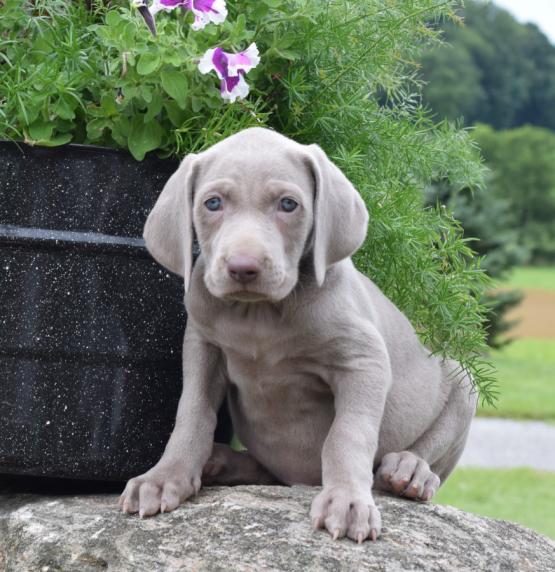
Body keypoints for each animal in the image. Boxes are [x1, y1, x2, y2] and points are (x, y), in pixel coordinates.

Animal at [120, 127, 478, 544]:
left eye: (288, 205)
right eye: (213, 203)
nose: (243, 267)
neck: (258, 316)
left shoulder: (365, 360)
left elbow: (347, 434)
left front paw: (347, 500)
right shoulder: (201, 346)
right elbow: (192, 412)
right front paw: (164, 477)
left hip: (462, 383)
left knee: (431, 457)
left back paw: (410, 471)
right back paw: (221, 461)